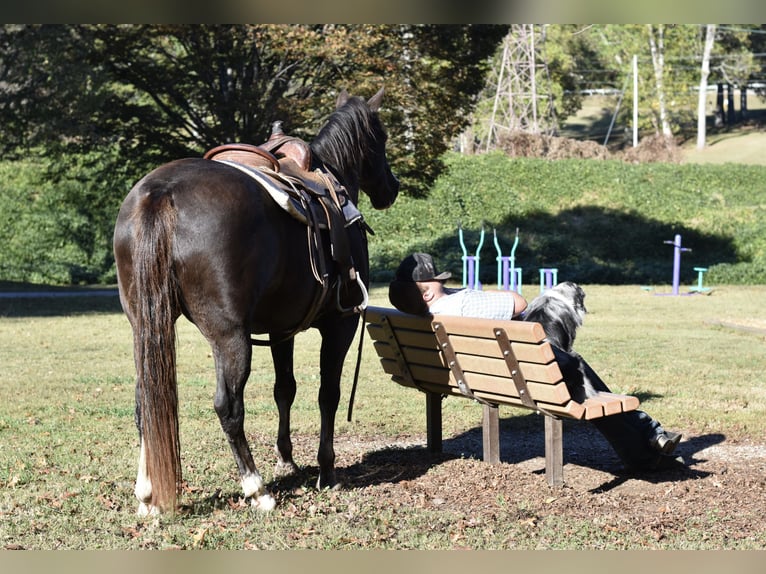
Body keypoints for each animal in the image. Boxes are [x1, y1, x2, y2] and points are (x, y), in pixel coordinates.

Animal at [113, 88, 399, 515]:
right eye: (380, 138)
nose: (391, 187)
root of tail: (160, 193)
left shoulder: (283, 329)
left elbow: (285, 389)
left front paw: (286, 457)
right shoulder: (340, 324)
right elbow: (327, 394)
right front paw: (326, 470)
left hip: (144, 328)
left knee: (145, 402)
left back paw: (147, 494)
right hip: (230, 338)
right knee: (228, 407)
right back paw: (257, 488)